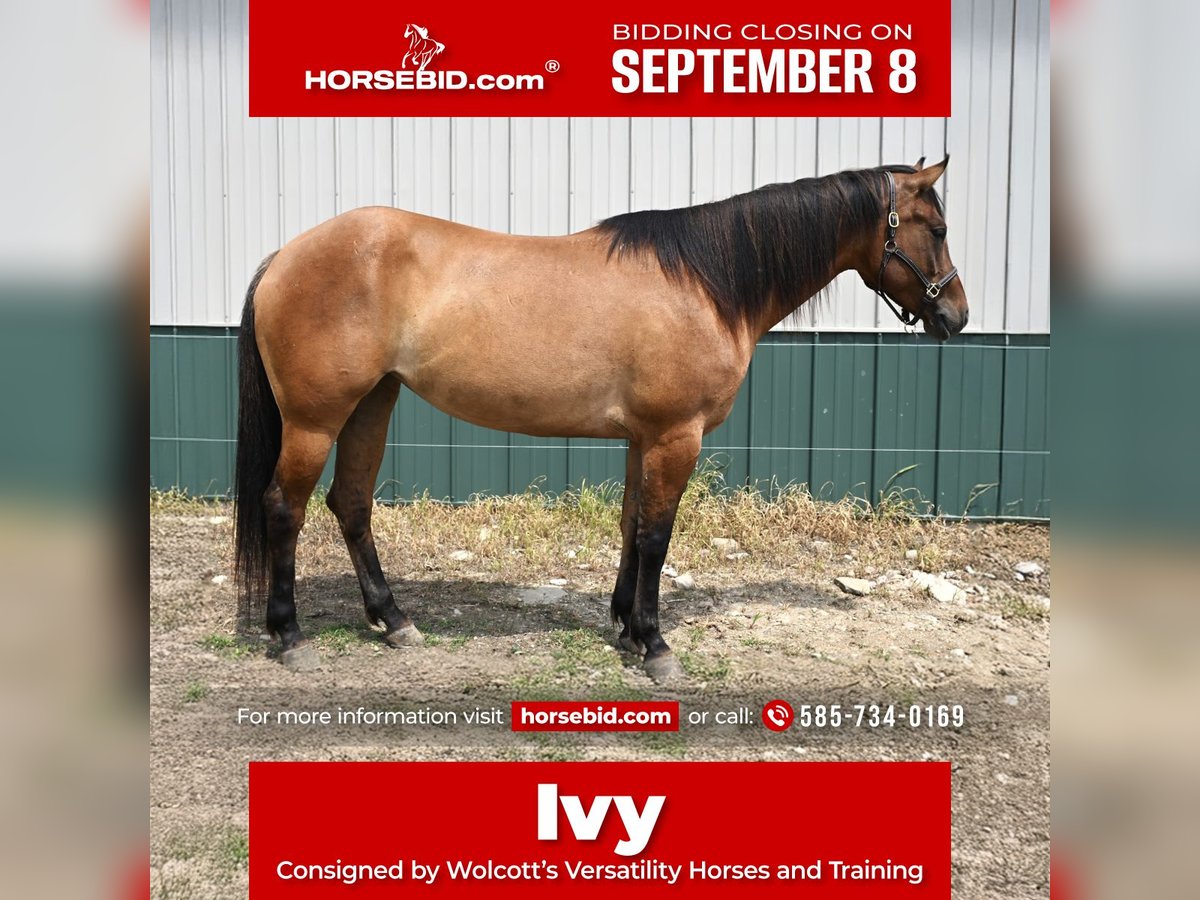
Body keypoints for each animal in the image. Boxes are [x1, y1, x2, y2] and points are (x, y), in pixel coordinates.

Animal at [234, 157, 967, 681]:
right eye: (935, 230)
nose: (955, 315)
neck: (704, 283)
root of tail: (283, 257)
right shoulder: (676, 436)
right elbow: (656, 538)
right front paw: (656, 644)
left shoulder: (645, 438)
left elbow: (631, 525)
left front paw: (625, 625)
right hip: (315, 419)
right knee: (284, 507)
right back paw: (290, 635)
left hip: (372, 403)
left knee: (351, 504)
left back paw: (394, 620)